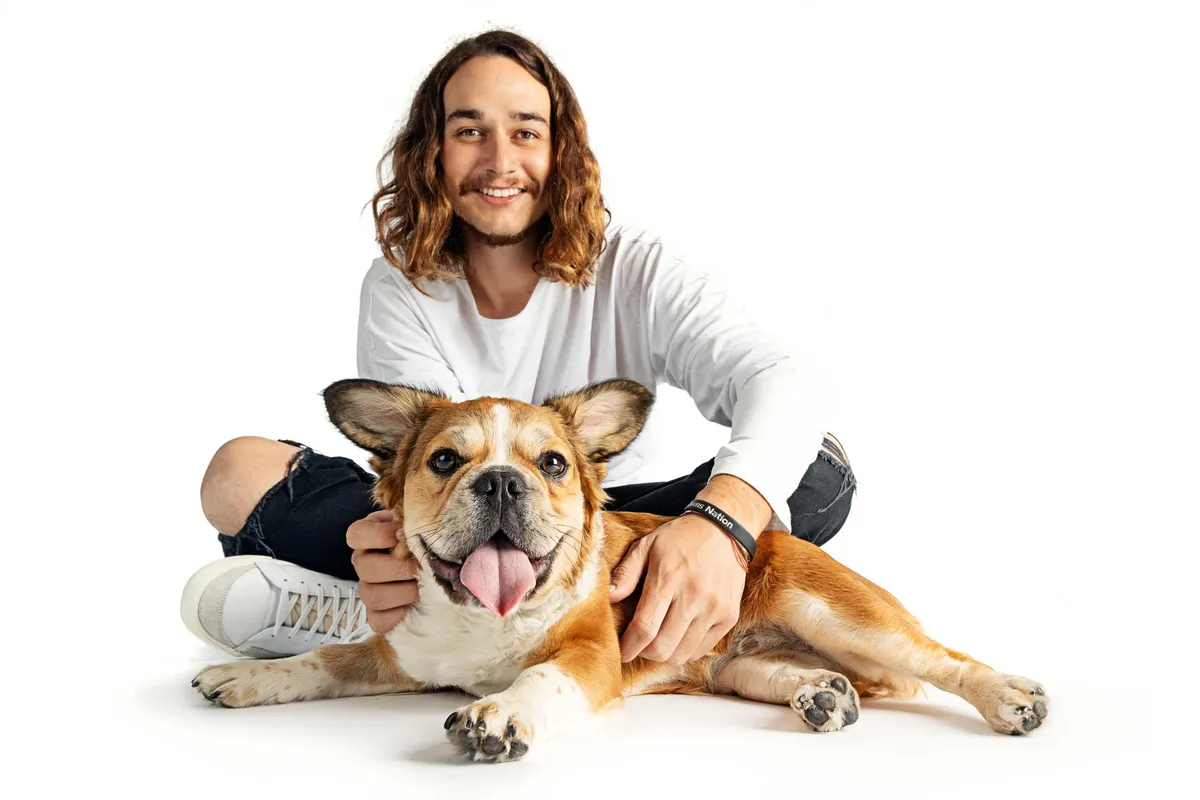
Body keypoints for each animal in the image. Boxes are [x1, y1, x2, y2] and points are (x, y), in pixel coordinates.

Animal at [192, 377, 1049, 761]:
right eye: (443, 461)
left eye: (551, 464)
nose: (500, 481)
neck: (484, 621)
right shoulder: (396, 653)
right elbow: (322, 660)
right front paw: (250, 675)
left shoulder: (587, 657)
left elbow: (538, 680)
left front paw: (499, 714)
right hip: (740, 665)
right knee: (817, 675)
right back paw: (822, 696)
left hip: (835, 611)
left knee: (937, 663)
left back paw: (1009, 696)